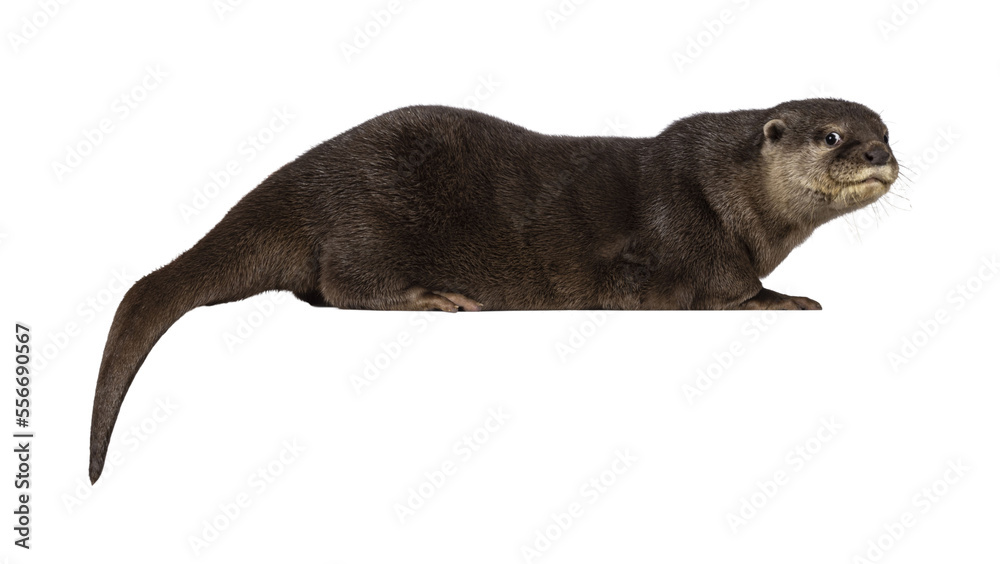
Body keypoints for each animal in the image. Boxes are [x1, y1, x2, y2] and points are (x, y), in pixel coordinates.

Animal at [89, 98, 898, 482]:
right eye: (831, 137)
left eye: (884, 129)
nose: (879, 154)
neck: (725, 192)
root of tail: (302, 180)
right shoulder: (681, 234)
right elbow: (724, 288)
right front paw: (782, 300)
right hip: (371, 218)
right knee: (341, 284)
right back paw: (435, 298)